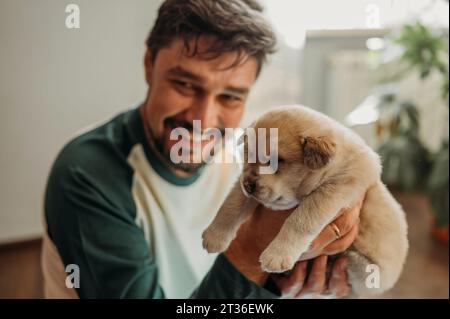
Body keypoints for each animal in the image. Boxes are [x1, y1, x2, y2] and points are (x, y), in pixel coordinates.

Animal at [202, 105, 410, 298]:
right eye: (248, 155)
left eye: (275, 161)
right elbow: (231, 204)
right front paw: (214, 236)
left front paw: (277, 255)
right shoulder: (244, 186)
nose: (248, 185)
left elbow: (300, 220)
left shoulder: (334, 188)